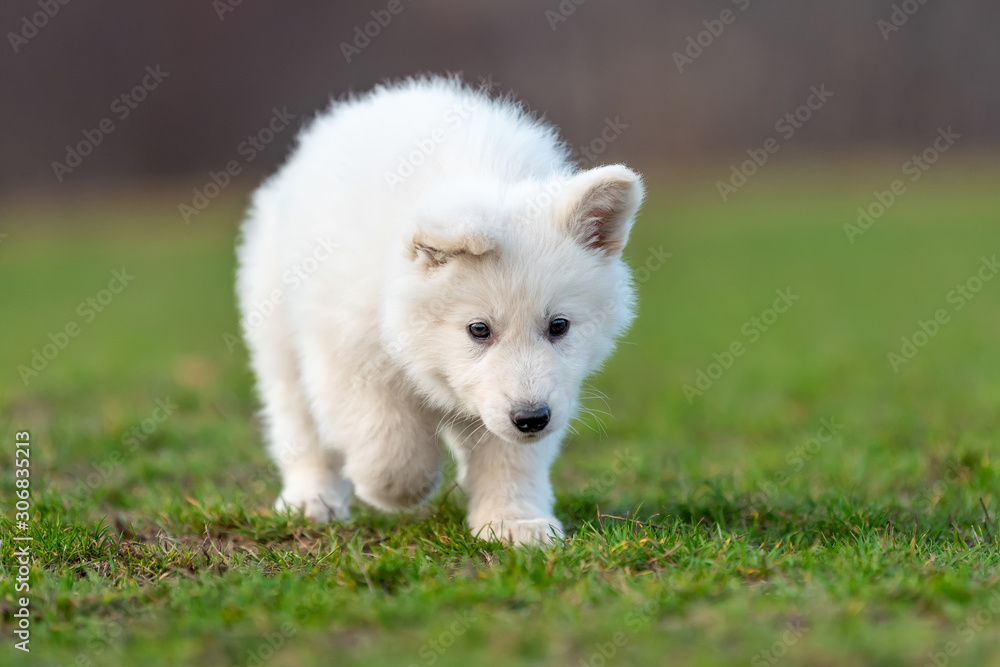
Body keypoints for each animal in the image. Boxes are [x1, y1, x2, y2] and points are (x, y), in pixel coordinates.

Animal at [241, 77, 644, 548]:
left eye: (559, 326)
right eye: (478, 329)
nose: (531, 419)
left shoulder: (546, 391)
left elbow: (511, 458)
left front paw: (513, 522)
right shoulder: (346, 350)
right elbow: (386, 437)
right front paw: (397, 489)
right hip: (277, 332)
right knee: (300, 427)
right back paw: (310, 500)